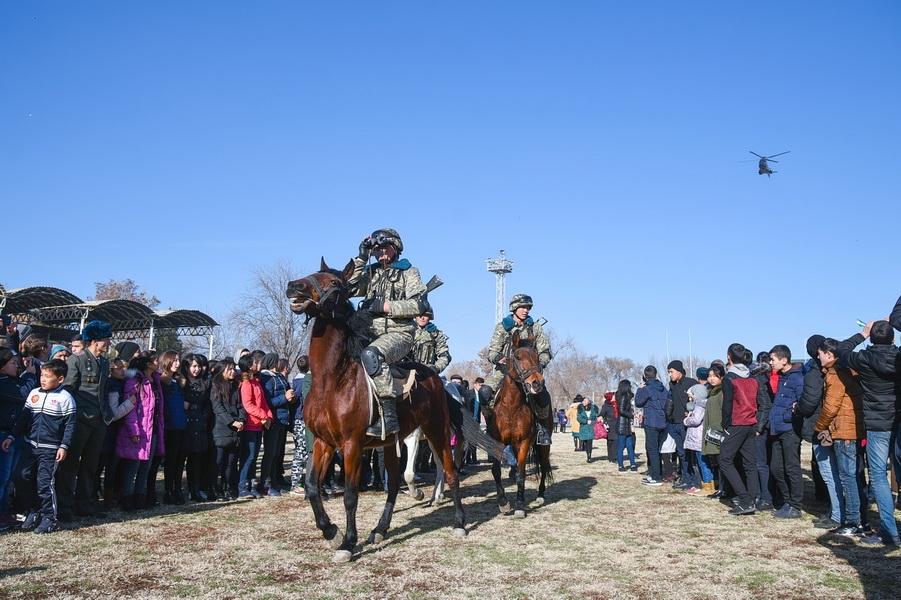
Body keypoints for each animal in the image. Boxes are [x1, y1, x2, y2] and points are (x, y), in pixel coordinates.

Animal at [284, 258, 502, 564]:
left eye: (335, 283)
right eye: (313, 274)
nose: (295, 287)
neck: (332, 380)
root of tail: (437, 380)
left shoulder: (351, 446)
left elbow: (350, 495)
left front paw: (348, 543)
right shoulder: (322, 442)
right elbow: (313, 488)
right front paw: (331, 532)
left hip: (436, 432)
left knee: (450, 473)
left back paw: (459, 522)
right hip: (390, 443)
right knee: (395, 481)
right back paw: (380, 529)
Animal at [488, 330, 552, 516]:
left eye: (537, 357)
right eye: (518, 356)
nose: (537, 383)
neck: (512, 406)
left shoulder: (523, 443)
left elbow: (521, 474)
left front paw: (519, 505)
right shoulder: (498, 442)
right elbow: (496, 470)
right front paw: (503, 502)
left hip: (543, 445)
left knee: (544, 466)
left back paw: (540, 495)